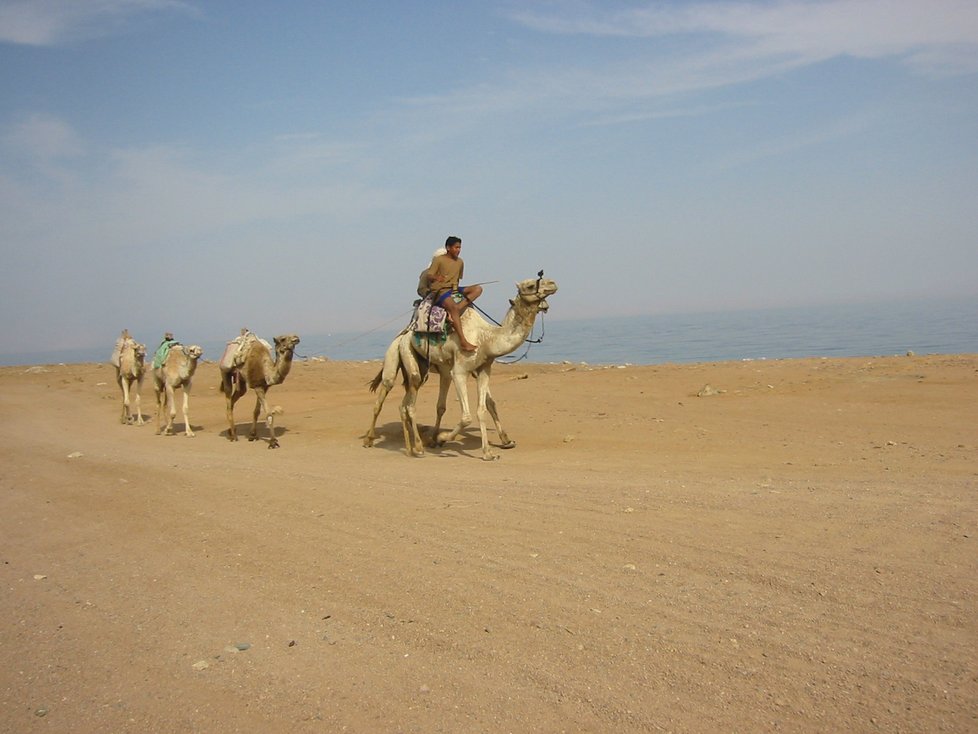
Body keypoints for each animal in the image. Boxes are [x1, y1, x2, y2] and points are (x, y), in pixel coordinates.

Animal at [364, 276, 556, 460]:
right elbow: (466, 416)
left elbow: (484, 408)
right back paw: (387, 443)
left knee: (404, 405)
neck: (486, 338)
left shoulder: (483, 369)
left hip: (420, 370)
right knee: (391, 399)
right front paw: (442, 438)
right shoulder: (459, 371)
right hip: (399, 355)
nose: (553, 283)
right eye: (530, 285)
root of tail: (402, 335)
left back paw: (412, 446)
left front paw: (491, 450)